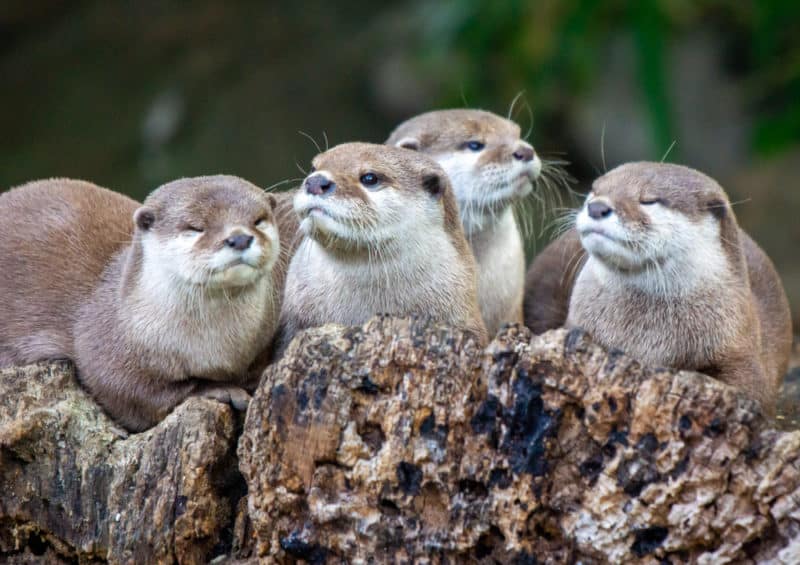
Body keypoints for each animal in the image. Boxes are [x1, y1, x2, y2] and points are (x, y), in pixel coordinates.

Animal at [0, 174, 282, 430]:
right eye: (195, 227)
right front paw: (220, 389)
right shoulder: (105, 347)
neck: (215, 349)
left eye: (258, 220)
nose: (240, 238)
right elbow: (136, 394)